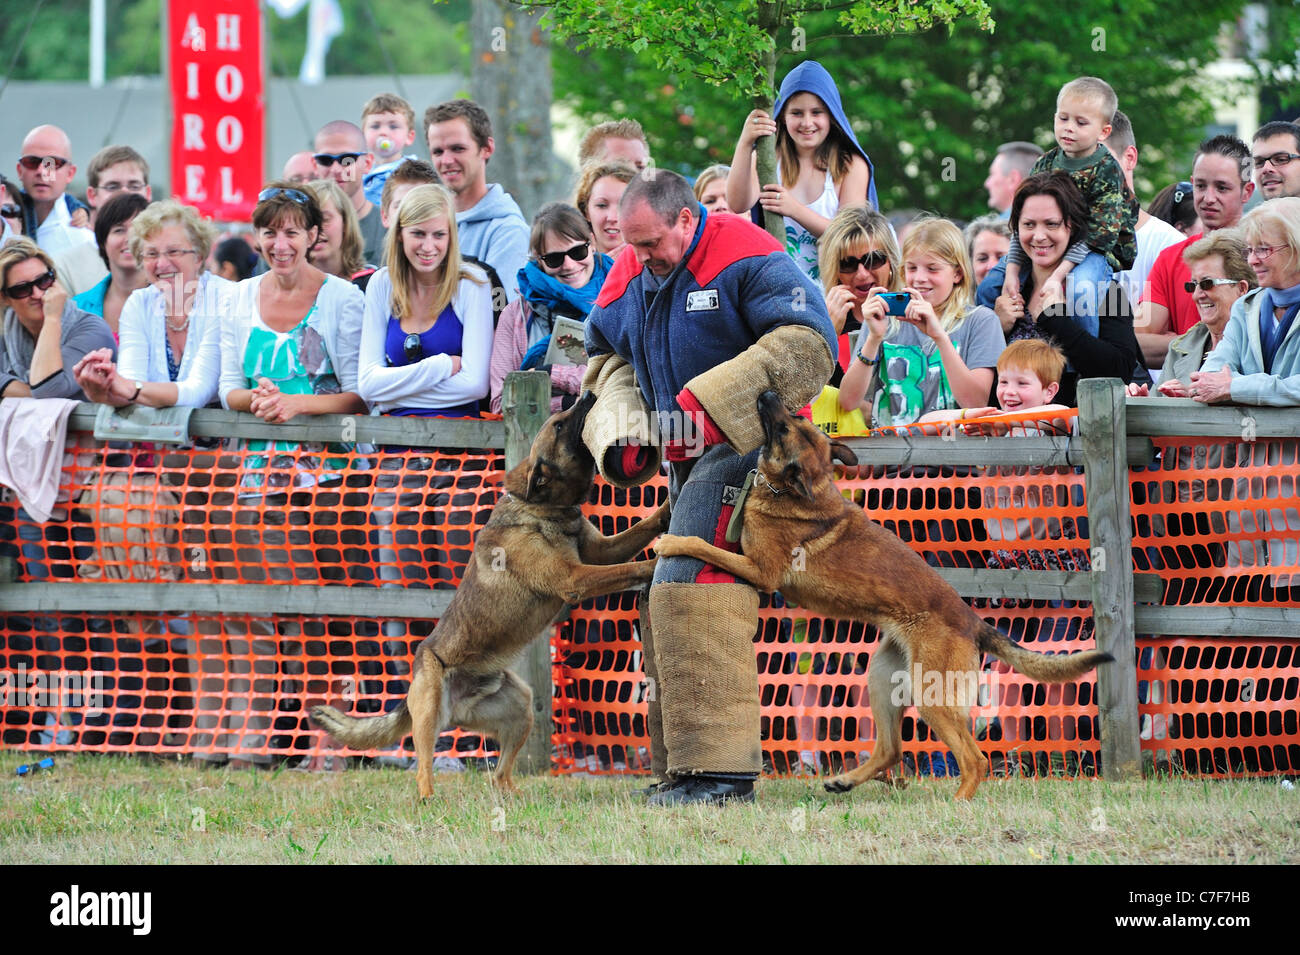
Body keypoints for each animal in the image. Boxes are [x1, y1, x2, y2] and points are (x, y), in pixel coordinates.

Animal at [309, 389, 665, 800]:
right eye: (560, 425)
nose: (587, 393)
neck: (542, 508)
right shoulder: (575, 577)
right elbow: (625, 569)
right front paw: (653, 565)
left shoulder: (601, 551)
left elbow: (638, 531)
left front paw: (667, 513)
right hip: (429, 710)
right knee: (423, 766)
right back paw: (429, 799)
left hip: (519, 707)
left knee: (498, 774)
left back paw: (513, 796)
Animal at [655, 389, 1112, 800]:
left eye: (784, 426)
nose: (768, 394)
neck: (795, 490)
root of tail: (973, 622)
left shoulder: (761, 571)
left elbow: (704, 546)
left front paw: (671, 542)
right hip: (882, 678)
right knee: (892, 749)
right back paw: (847, 781)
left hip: (931, 695)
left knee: (975, 758)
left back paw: (958, 803)